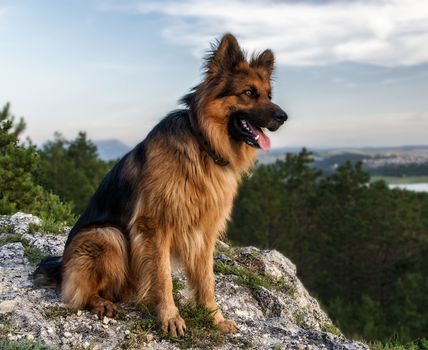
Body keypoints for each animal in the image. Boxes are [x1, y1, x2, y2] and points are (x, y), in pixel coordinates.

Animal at [33, 32, 288, 336]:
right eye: (249, 93)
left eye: (269, 95)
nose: (283, 116)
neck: (203, 143)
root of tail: (60, 268)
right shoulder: (155, 226)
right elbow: (162, 276)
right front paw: (169, 317)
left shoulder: (205, 231)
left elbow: (207, 279)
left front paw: (213, 317)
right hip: (106, 236)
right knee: (79, 293)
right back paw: (101, 303)